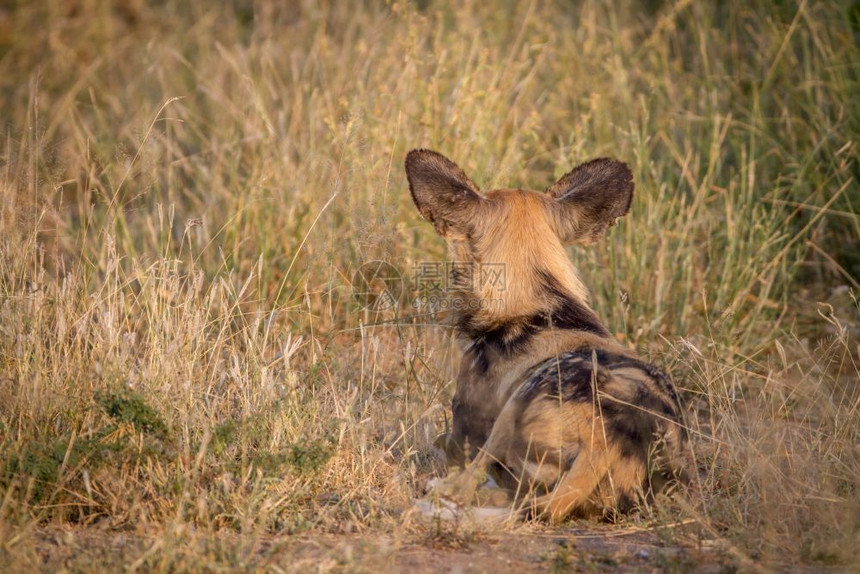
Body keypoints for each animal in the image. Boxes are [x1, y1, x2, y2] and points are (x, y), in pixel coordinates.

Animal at [406, 150, 688, 528]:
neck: (538, 296)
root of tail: (606, 443)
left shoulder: (466, 428)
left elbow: (449, 450)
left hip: (516, 405)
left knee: (469, 486)